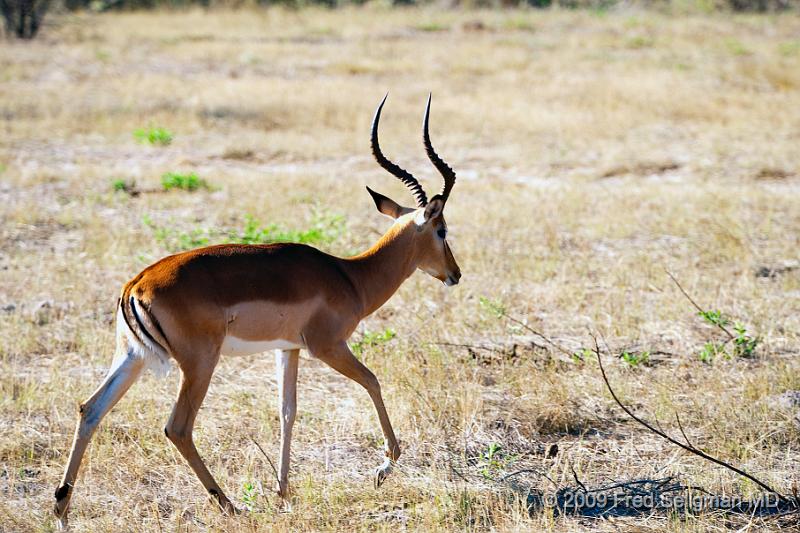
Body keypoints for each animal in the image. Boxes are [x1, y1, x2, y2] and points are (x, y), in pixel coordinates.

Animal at [53, 94, 460, 524]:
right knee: (177, 427)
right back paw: (229, 504)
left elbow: (287, 410)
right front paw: (383, 468)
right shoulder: (327, 346)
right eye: (442, 230)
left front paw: (283, 491)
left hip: (132, 357)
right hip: (200, 362)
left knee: (90, 409)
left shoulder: (289, 348)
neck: (350, 276)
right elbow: (372, 381)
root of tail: (136, 284)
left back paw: (61, 509)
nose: (455, 274)